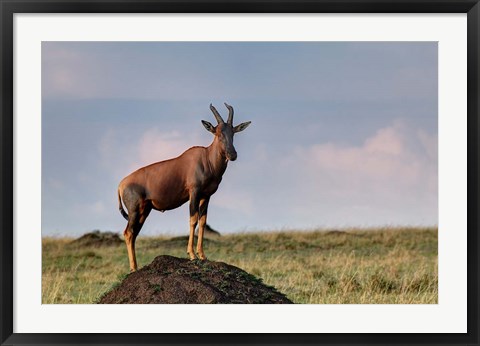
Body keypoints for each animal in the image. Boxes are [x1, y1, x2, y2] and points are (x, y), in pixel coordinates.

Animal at [117, 104, 251, 272]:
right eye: (218, 133)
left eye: (233, 132)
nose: (232, 155)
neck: (206, 159)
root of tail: (121, 184)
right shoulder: (194, 193)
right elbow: (193, 219)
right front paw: (192, 255)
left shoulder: (206, 196)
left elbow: (202, 221)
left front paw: (202, 255)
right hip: (135, 210)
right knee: (128, 233)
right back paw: (133, 269)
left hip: (144, 211)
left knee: (134, 233)